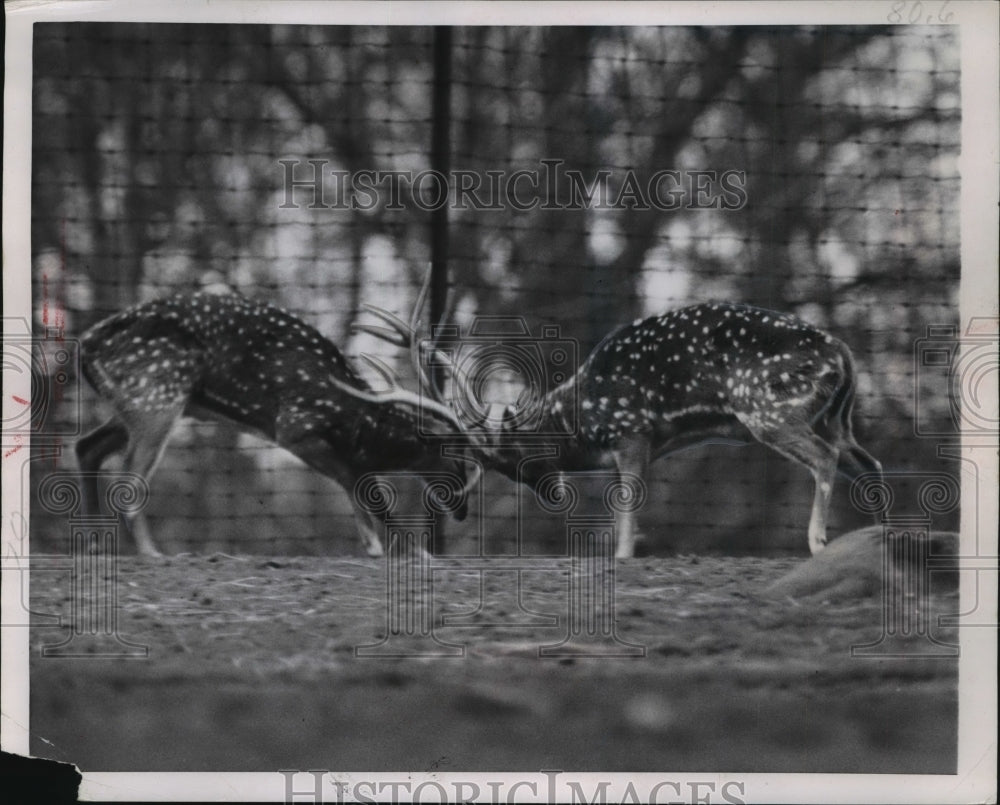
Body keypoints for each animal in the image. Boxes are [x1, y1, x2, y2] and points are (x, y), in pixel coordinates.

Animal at [75, 289, 479, 557]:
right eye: (454, 453)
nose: (463, 508)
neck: (355, 423)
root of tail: (86, 342)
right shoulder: (294, 426)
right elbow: (363, 485)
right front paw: (396, 548)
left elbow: (362, 483)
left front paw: (381, 545)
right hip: (159, 396)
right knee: (127, 482)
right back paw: (152, 553)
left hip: (143, 403)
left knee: (86, 446)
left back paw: (95, 544)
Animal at [354, 292, 884, 559]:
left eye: (513, 456)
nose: (553, 493)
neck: (585, 413)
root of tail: (844, 354)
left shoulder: (633, 431)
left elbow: (627, 509)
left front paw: (624, 555)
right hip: (837, 418)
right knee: (869, 463)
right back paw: (880, 538)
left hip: (768, 409)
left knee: (825, 459)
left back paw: (817, 541)